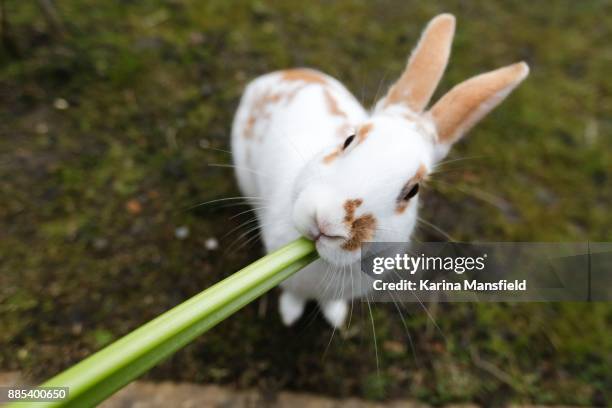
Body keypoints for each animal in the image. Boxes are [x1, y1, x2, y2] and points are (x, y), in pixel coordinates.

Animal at [232, 13, 528, 328]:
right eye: (348, 140)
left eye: (413, 191)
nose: (326, 220)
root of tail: (283, 74)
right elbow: (293, 296)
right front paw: (289, 315)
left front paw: (336, 318)